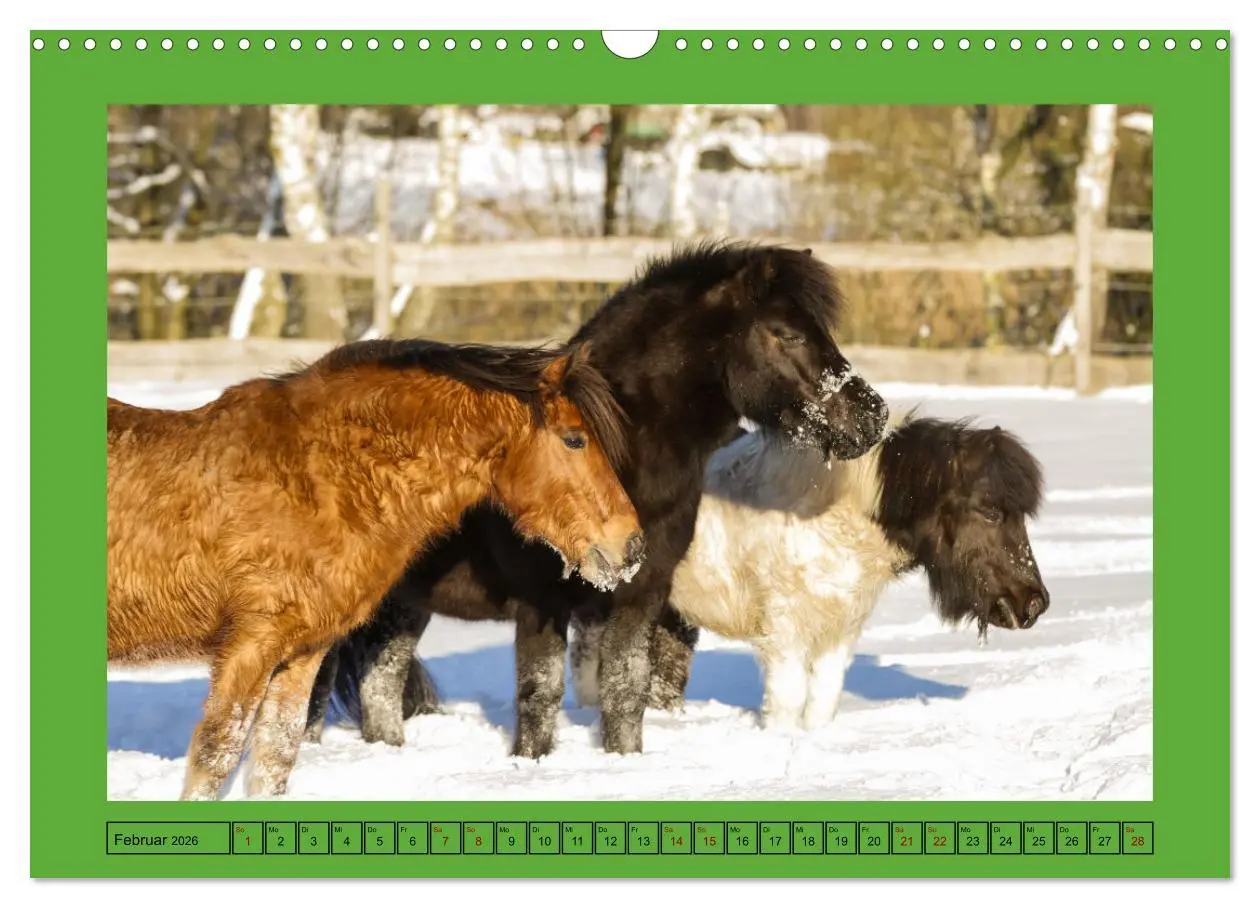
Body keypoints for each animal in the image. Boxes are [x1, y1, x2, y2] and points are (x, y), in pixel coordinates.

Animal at [107, 339, 644, 800]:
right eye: (574, 440)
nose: (633, 545)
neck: (317, 478)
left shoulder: (301, 652)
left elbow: (276, 757)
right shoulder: (249, 646)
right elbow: (215, 757)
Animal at [304, 239, 890, 757]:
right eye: (786, 334)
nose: (872, 416)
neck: (623, 451)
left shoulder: (642, 593)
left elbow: (627, 689)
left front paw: (622, 759)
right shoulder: (542, 601)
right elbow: (540, 695)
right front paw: (531, 764)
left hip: (402, 603)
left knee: (380, 684)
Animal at [568, 410, 1050, 729]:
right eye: (991, 511)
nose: (1035, 604)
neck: (837, 515)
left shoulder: (840, 629)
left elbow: (822, 701)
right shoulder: (785, 633)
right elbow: (787, 702)